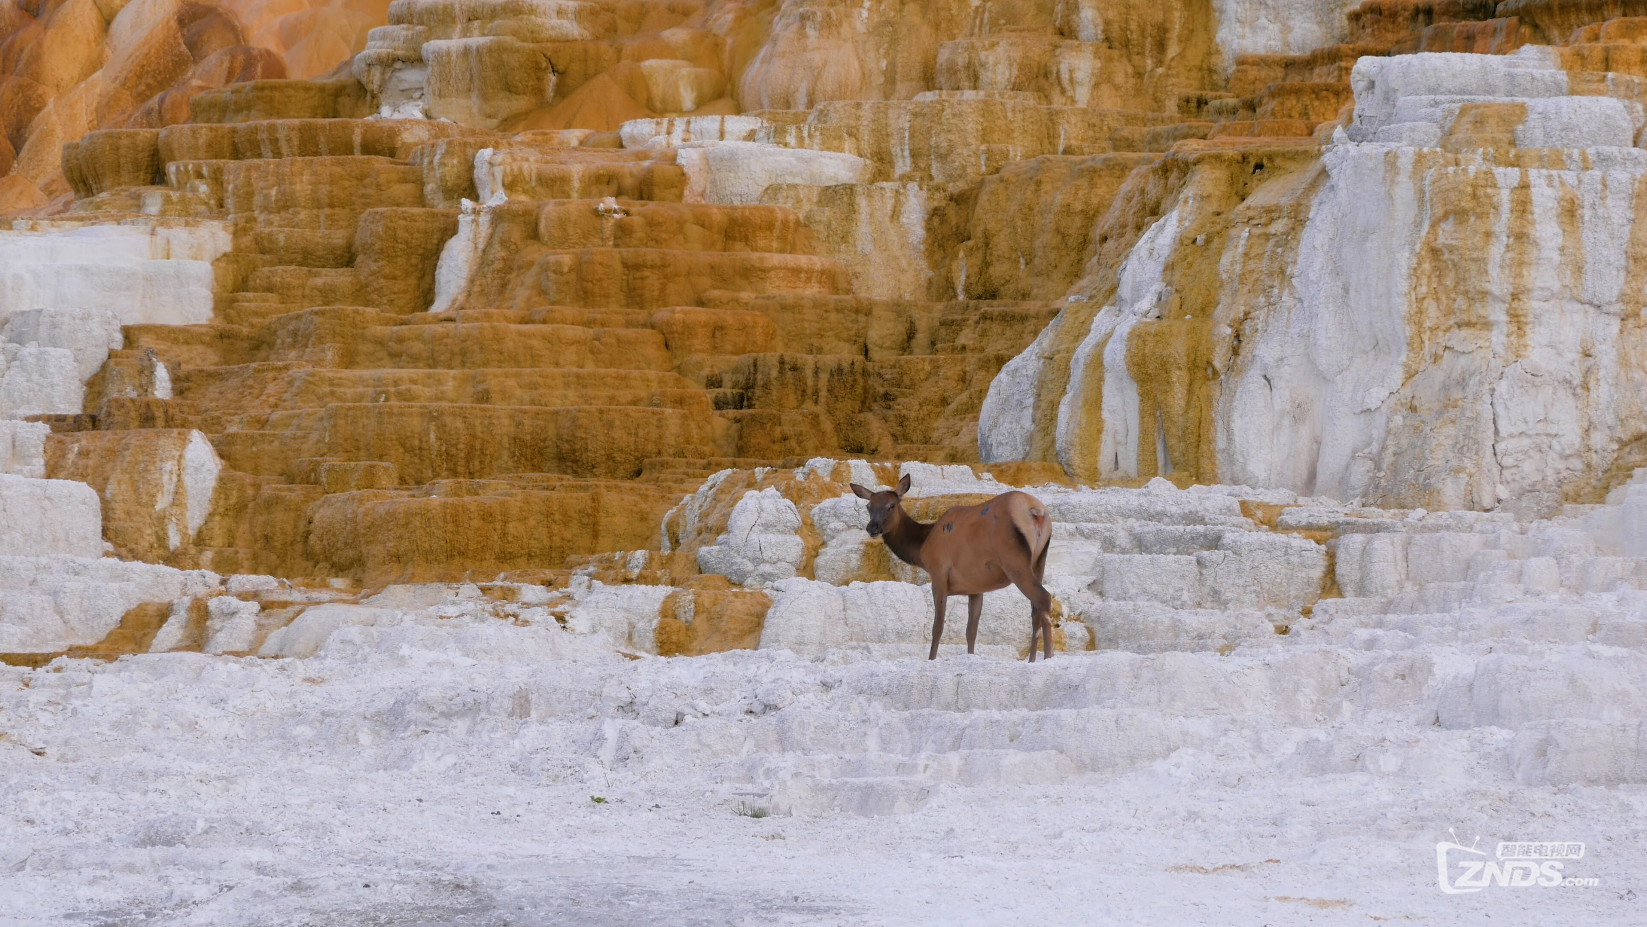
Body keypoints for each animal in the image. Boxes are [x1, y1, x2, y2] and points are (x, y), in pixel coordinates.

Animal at [849, 474, 1054, 665]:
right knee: (1035, 611)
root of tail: (1036, 512)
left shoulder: (939, 573)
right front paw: (970, 656)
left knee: (1044, 598)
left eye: (891, 505)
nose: (872, 527)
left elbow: (937, 626)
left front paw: (931, 659)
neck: (922, 547)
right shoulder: (975, 587)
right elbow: (971, 630)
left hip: (1014, 559)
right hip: (1039, 561)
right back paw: (1032, 659)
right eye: (869, 506)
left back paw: (1049, 656)